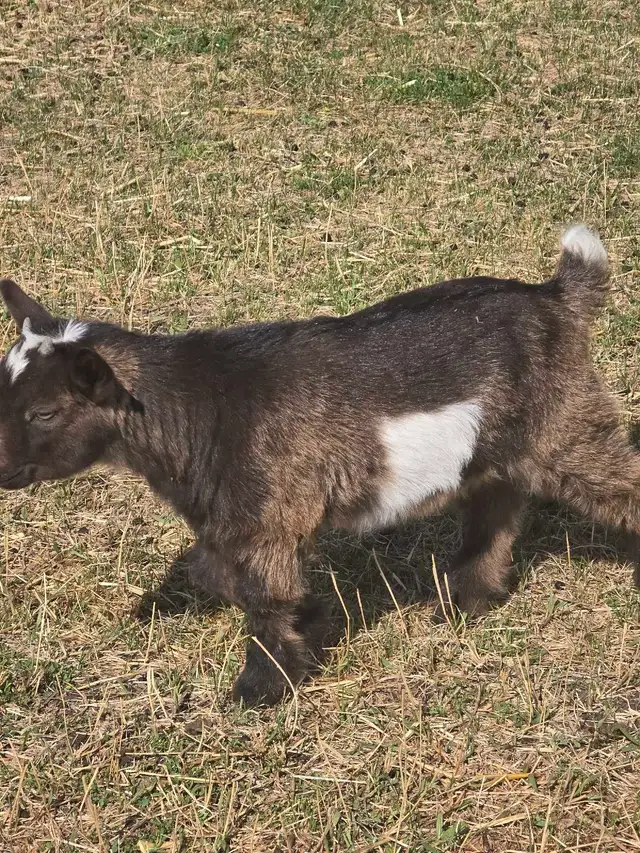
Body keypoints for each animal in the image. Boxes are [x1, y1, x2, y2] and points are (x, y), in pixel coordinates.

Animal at [0, 225, 637, 705]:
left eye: (44, 412)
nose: (0, 466)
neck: (201, 404)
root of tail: (556, 296)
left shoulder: (267, 519)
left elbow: (260, 593)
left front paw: (263, 686)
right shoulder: (236, 520)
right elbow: (219, 573)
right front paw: (309, 623)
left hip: (565, 424)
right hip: (495, 448)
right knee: (496, 508)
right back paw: (465, 599)